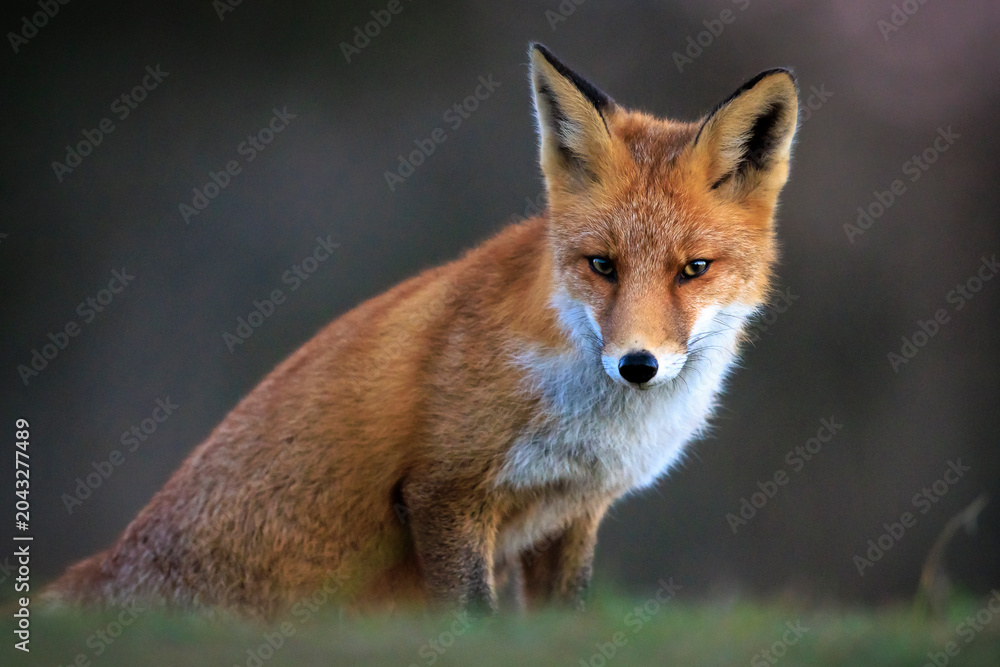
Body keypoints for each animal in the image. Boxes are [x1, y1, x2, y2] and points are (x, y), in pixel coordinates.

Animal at [43, 43, 799, 620]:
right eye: (602, 265)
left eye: (693, 269)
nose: (637, 364)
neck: (588, 419)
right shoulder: (445, 492)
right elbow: (473, 620)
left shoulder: (572, 513)